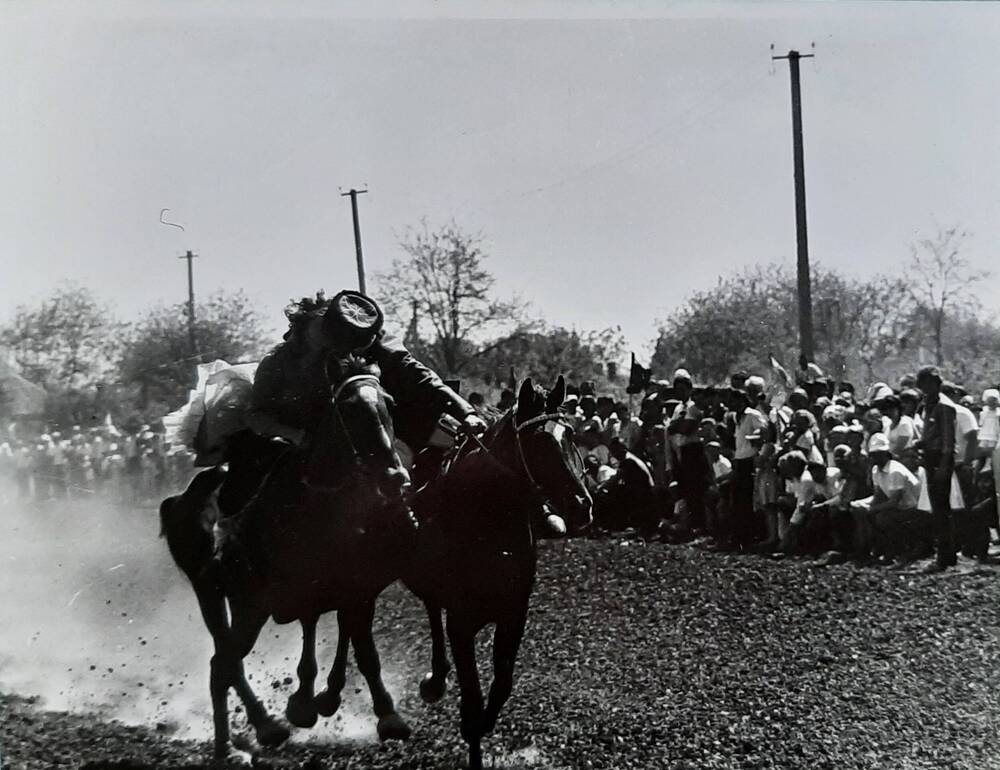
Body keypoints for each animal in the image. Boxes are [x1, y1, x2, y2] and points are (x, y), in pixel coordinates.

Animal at [159, 356, 414, 760]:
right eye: (348, 409)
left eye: (389, 403)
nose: (394, 476)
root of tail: (180, 501)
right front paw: (312, 702)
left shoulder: (353, 589)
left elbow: (361, 649)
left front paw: (383, 715)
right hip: (220, 596)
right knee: (223, 663)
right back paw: (236, 741)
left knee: (229, 662)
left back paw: (265, 724)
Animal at [292, 376, 592, 768]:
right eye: (540, 442)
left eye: (570, 434)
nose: (583, 505)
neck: (488, 520)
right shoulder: (462, 622)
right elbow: (474, 696)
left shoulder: (514, 612)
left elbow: (501, 685)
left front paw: (479, 720)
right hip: (362, 576)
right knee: (351, 621)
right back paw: (330, 694)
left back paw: (430, 679)